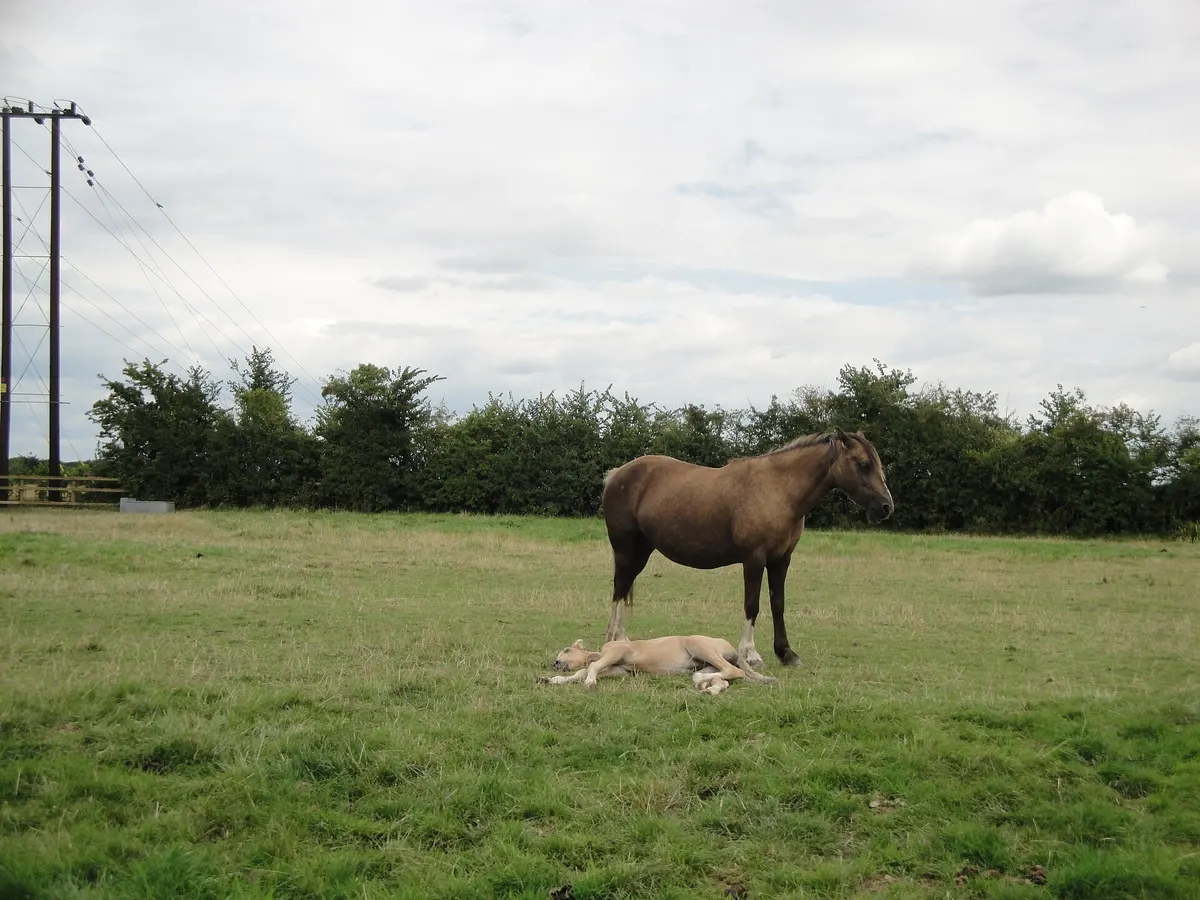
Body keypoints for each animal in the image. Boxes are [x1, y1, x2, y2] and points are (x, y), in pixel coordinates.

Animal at [599, 427, 893, 669]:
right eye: (864, 464)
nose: (886, 507)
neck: (779, 490)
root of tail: (616, 475)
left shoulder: (781, 560)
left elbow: (778, 604)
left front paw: (786, 653)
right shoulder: (754, 559)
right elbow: (752, 605)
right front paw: (750, 653)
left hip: (642, 551)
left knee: (624, 587)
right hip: (625, 550)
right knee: (618, 588)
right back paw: (615, 639)